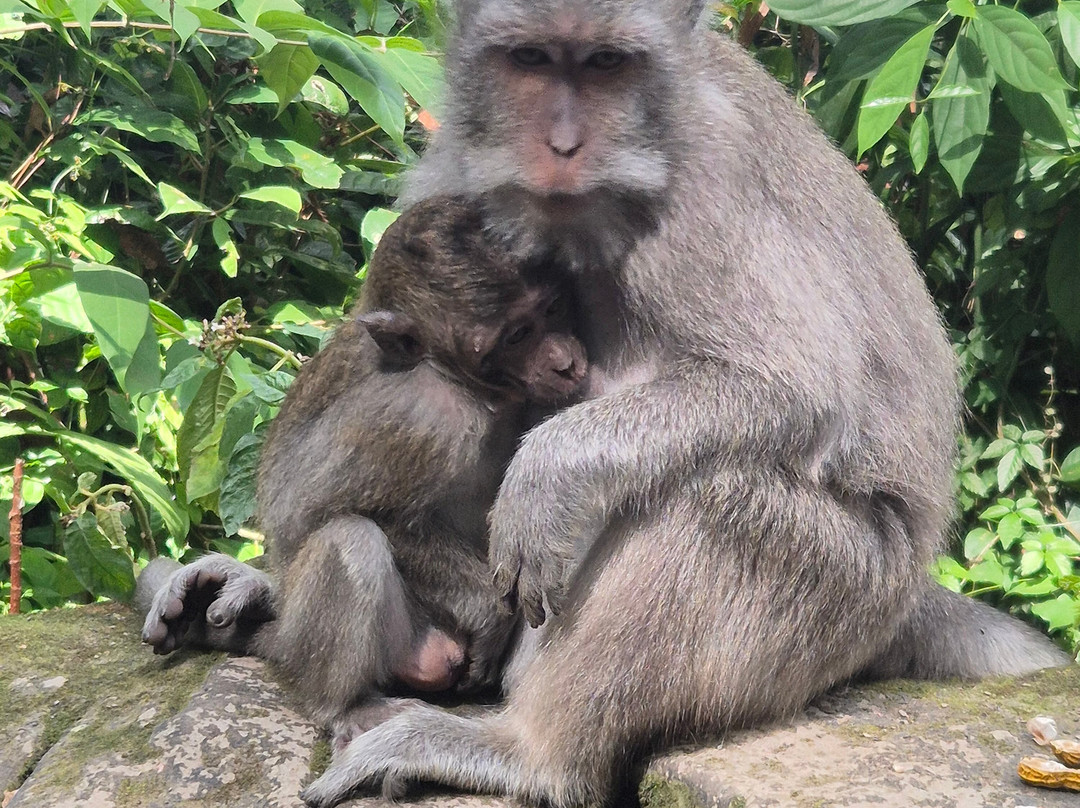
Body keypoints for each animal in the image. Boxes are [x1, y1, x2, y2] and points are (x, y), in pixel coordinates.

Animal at [139, 195, 588, 736]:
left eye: (553, 308)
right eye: (516, 336)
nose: (566, 362)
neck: (457, 379)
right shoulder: (420, 419)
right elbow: (324, 512)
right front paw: (487, 613)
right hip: (362, 639)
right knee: (349, 539)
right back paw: (344, 705)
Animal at [298, 2, 1073, 807]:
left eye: (607, 64)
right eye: (530, 59)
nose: (563, 147)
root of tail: (910, 590)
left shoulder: (704, 196)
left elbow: (798, 390)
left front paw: (548, 473)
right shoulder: (460, 168)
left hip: (847, 598)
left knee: (709, 494)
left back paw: (534, 756)